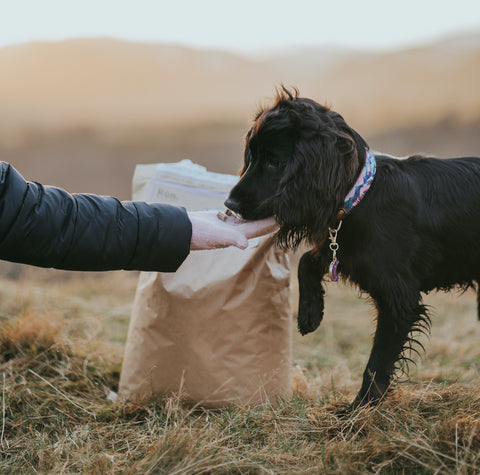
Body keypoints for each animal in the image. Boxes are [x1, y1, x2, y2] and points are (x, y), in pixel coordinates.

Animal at [225, 87, 480, 410]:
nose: (229, 203)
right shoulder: (340, 247)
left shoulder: (399, 299)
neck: (361, 195)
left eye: (273, 161)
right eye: (253, 155)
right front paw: (309, 314)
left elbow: (377, 363)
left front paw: (359, 409)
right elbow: (307, 261)